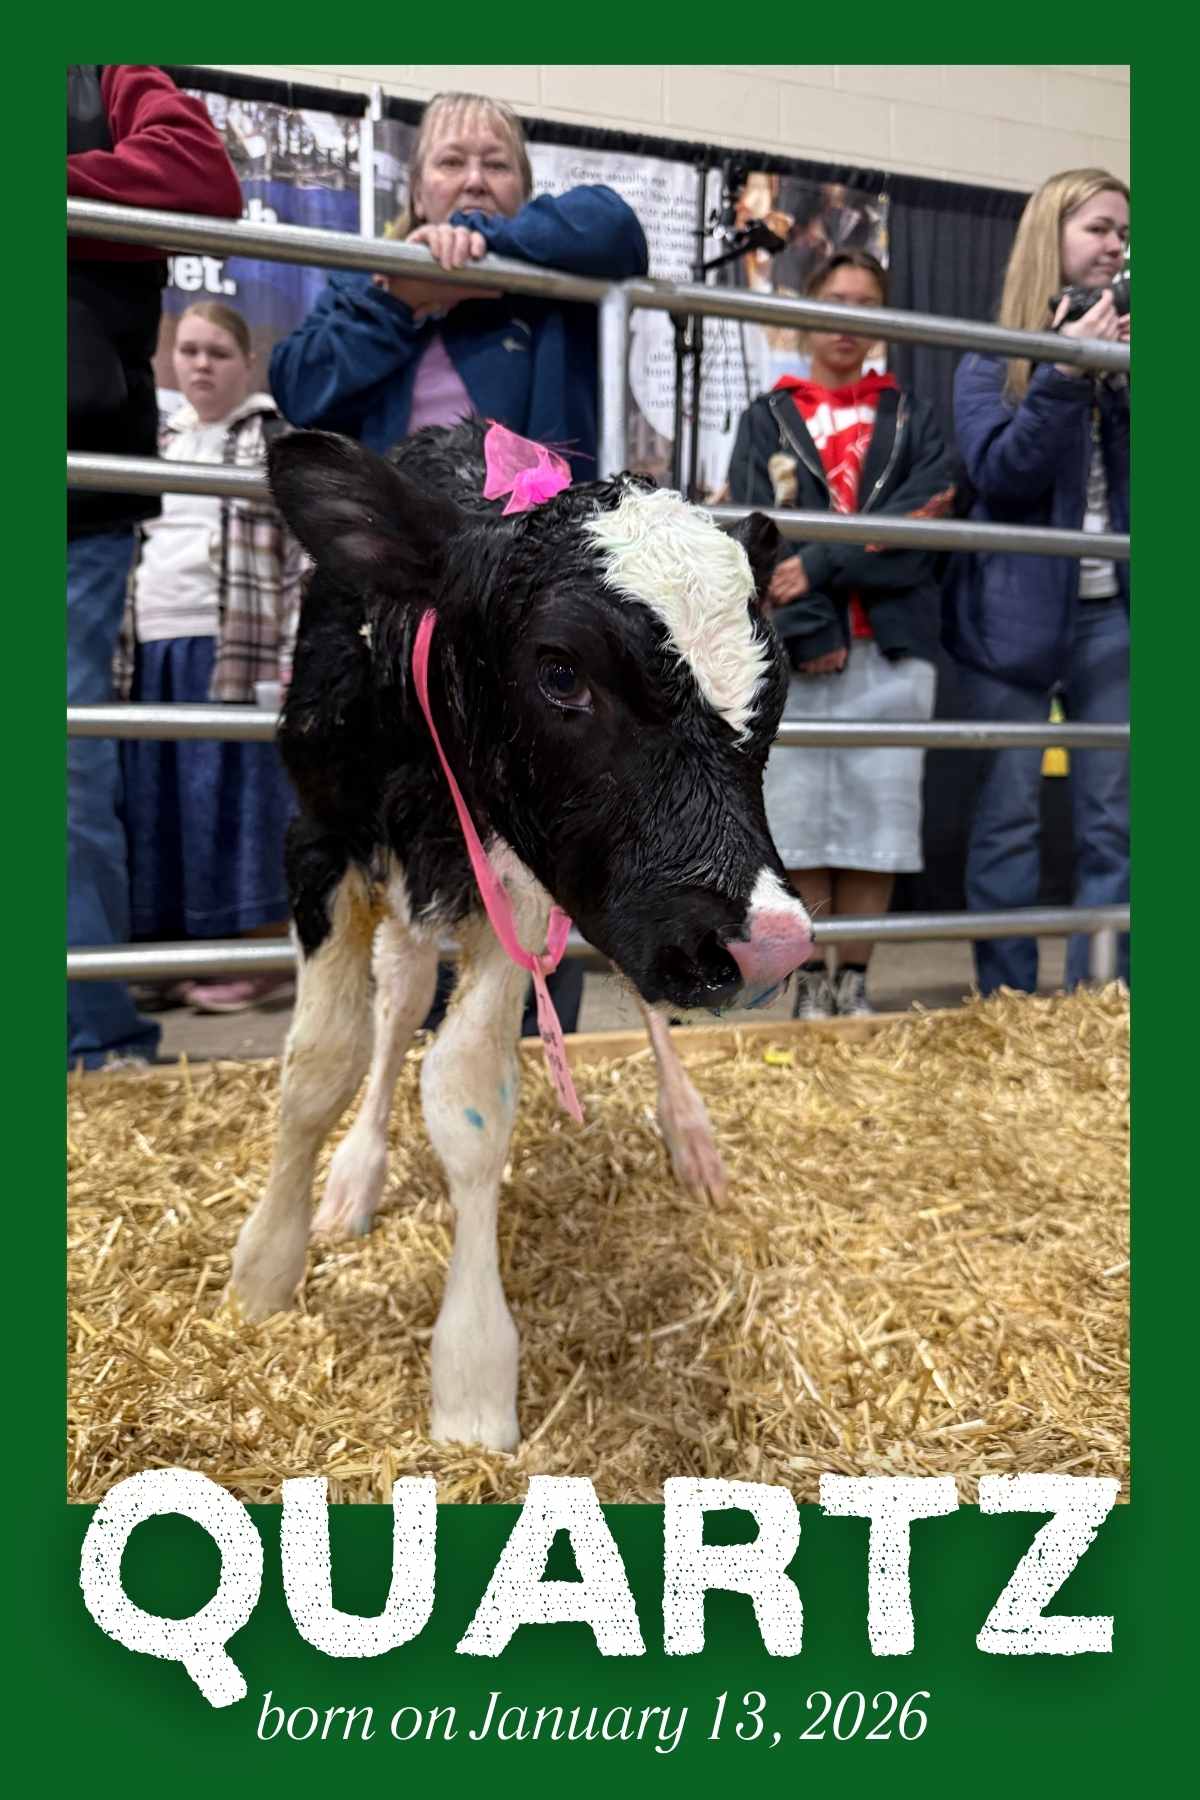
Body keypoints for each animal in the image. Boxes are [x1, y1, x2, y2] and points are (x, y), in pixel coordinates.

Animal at [228, 419, 813, 1450]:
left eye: (773, 687)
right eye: (560, 672)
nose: (770, 946)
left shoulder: (525, 888)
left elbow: (467, 1096)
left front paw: (470, 1375)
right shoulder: (319, 840)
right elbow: (321, 1064)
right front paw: (267, 1264)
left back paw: (690, 1136)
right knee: (400, 1002)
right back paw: (354, 1178)